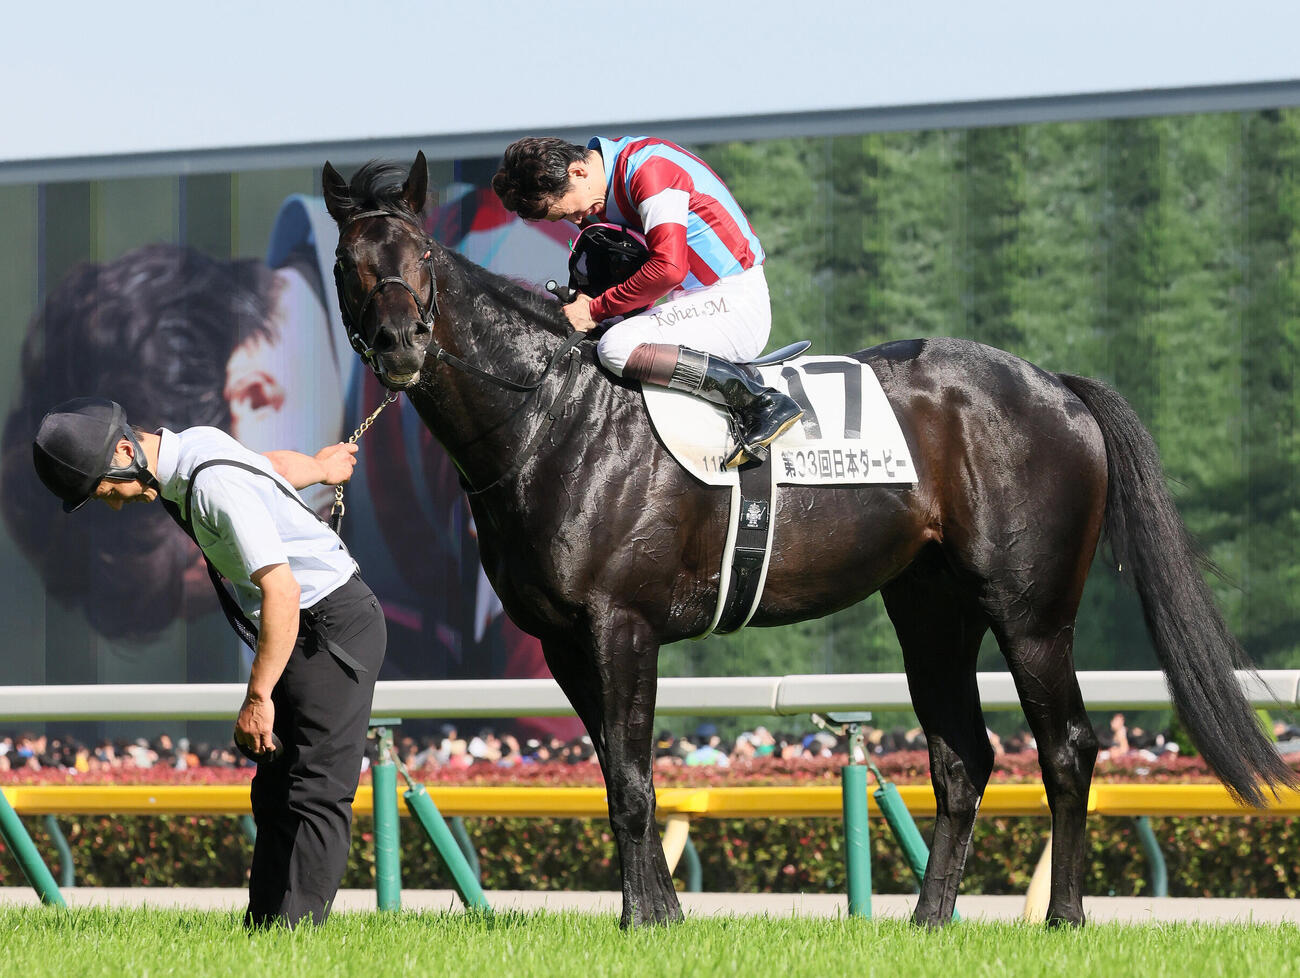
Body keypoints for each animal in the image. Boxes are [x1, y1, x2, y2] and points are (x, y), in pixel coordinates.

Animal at [322, 152, 1297, 928]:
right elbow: (615, 771)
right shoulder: (566, 640)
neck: (550, 417)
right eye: (347, 263)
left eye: (418, 257)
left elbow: (634, 783)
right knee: (962, 759)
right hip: (930, 613)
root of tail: (1054, 385)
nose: (400, 345)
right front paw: (660, 915)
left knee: (1066, 750)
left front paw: (645, 922)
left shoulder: (619, 624)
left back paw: (1062, 918)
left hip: (1031, 612)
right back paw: (929, 922)